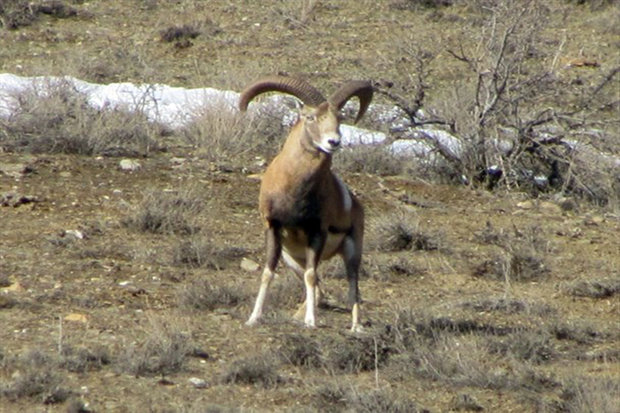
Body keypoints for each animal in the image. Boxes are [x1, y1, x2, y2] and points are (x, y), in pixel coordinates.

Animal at [237, 75, 372, 332]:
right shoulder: (273, 228)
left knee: (352, 288)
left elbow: (311, 275)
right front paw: (253, 318)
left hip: (351, 252)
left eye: (339, 118)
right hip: (292, 259)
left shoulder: (316, 233)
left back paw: (355, 327)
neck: (293, 188)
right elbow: (268, 273)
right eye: (310, 117)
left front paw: (311, 322)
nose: (333, 142)